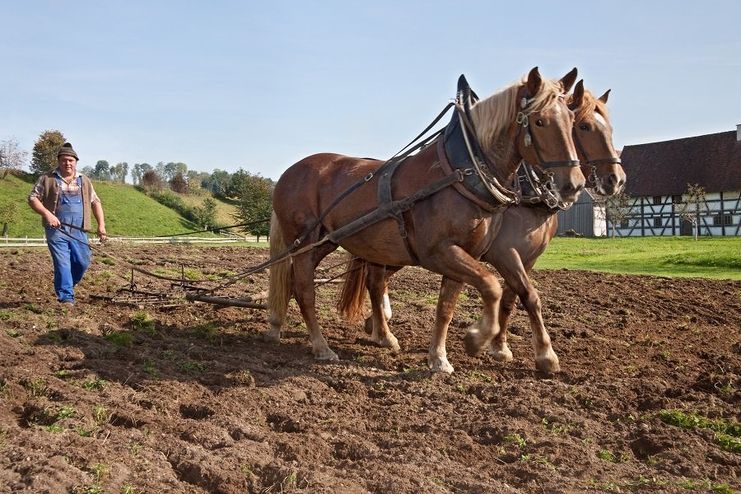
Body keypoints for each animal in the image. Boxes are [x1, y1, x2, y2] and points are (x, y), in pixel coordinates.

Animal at [266, 67, 584, 372]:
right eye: (539, 122)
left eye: (572, 119)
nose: (574, 184)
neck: (461, 174)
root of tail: (289, 172)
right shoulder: (441, 252)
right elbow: (492, 285)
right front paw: (476, 339)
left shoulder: (467, 253)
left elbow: (448, 307)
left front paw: (439, 358)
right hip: (304, 243)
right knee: (306, 290)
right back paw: (321, 347)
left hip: (327, 242)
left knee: (313, 284)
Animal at [340, 81, 624, 372]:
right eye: (584, 126)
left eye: (609, 128)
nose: (616, 179)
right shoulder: (504, 253)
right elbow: (528, 295)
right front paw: (542, 354)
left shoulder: (526, 258)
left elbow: (512, 298)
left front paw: (500, 346)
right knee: (376, 280)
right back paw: (381, 327)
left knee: (378, 279)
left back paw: (378, 325)